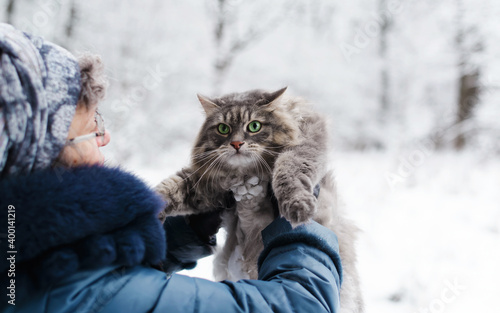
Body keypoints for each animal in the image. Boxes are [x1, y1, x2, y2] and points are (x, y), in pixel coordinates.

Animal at [156, 86, 364, 310]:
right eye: (223, 128)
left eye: (254, 126)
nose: (236, 143)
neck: (244, 175)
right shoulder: (207, 185)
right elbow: (168, 188)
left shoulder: (305, 145)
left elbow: (288, 169)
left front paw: (298, 206)